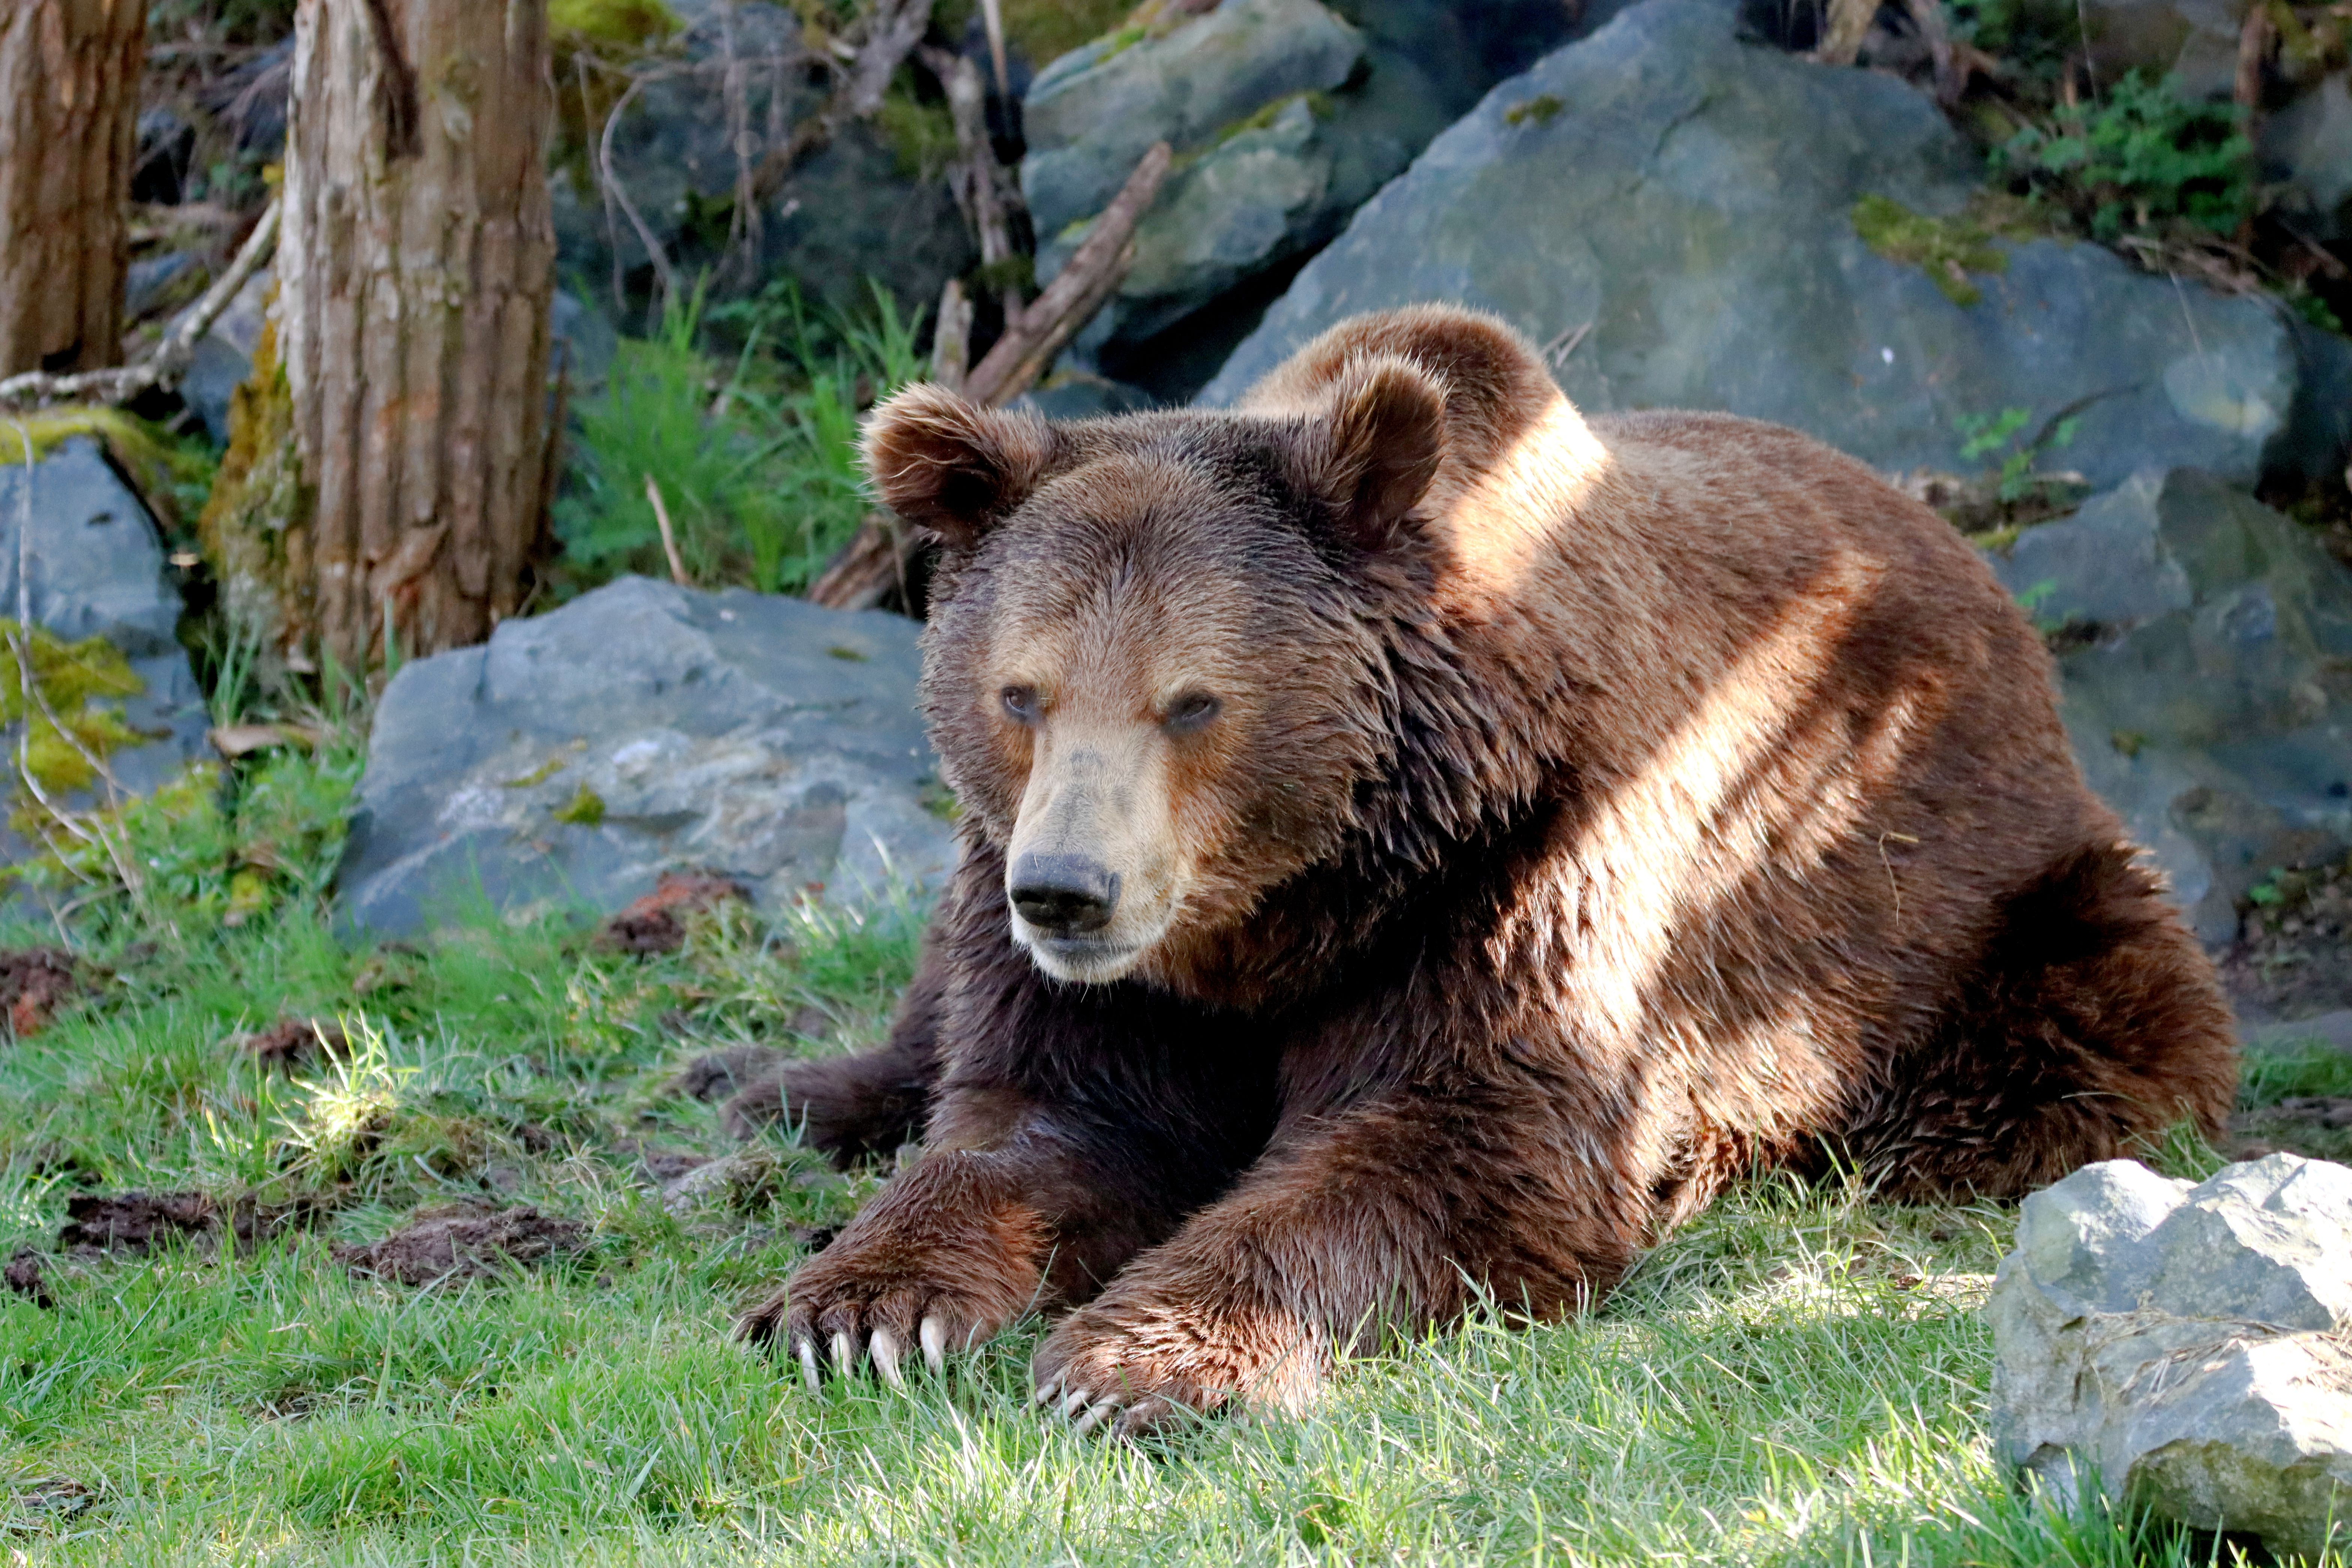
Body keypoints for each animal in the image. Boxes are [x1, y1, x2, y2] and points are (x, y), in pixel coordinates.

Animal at [727, 304, 2238, 1437]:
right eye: (1022, 692)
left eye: (1193, 702)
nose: (1068, 890)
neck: (1292, 910)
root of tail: (1964, 559)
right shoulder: (1084, 953)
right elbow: (1043, 1117)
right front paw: (853, 1309)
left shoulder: (1525, 875)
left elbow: (1461, 1143)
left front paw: (1126, 1364)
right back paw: (768, 1094)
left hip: (1975, 894)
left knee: (2081, 1034)